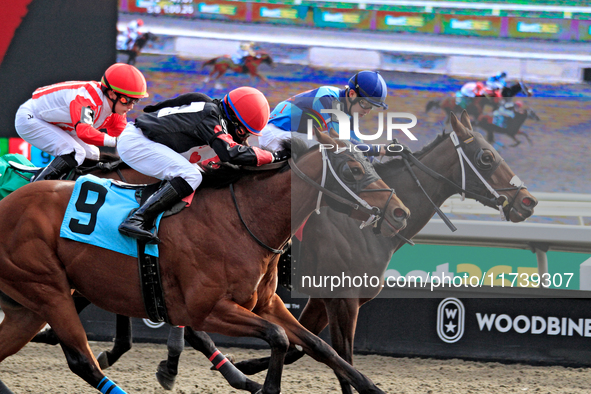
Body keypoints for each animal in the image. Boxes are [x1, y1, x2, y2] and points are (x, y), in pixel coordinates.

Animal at [0, 132, 410, 394]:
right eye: (353, 168)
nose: (400, 212)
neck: (242, 219)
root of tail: (8, 202)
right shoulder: (208, 309)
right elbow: (278, 338)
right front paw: (262, 387)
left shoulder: (267, 303)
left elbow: (319, 347)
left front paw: (371, 388)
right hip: (48, 290)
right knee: (82, 361)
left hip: (28, 306)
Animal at [234, 111, 540, 394]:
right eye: (486, 157)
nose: (529, 201)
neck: (363, 228)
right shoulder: (344, 299)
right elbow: (341, 357)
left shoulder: (323, 298)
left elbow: (307, 348)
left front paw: (246, 365)